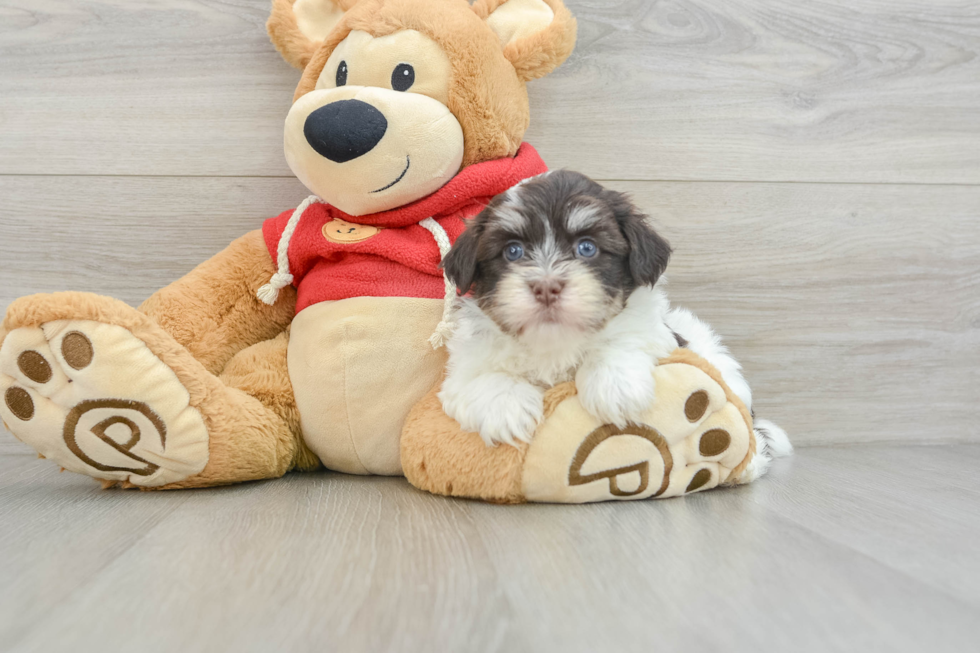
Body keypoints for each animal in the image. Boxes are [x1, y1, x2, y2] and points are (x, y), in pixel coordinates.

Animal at [438, 171, 788, 478]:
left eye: (587, 248)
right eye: (513, 251)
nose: (547, 287)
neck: (556, 344)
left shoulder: (651, 332)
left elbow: (623, 339)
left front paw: (614, 386)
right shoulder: (465, 361)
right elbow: (480, 376)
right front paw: (505, 407)